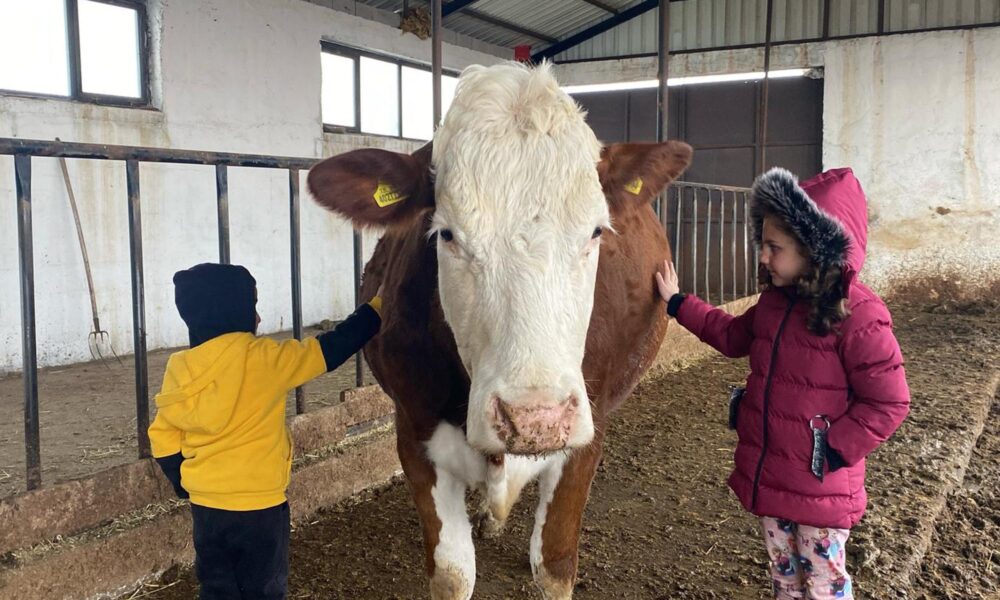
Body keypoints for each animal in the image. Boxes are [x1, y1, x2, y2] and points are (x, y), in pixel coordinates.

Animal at [307, 62, 691, 599]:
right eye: (447, 233)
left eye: (596, 231)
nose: (536, 420)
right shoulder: (414, 433)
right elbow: (452, 574)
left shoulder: (587, 435)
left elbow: (554, 567)